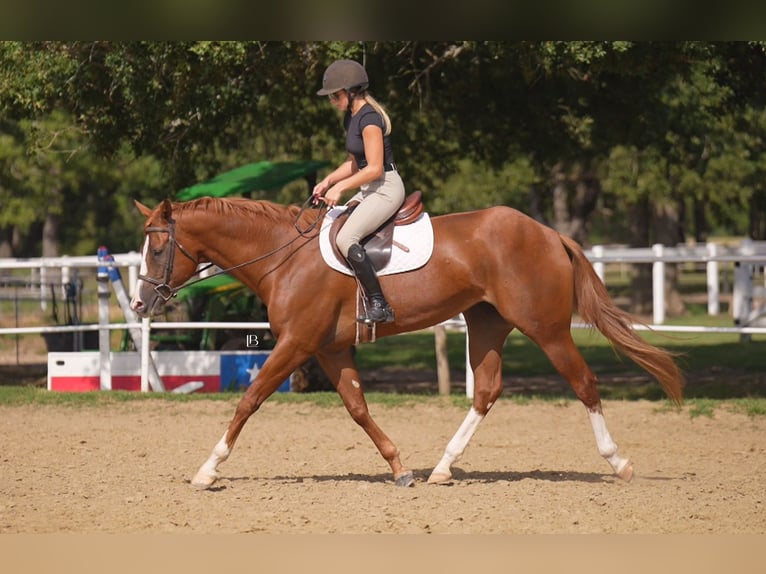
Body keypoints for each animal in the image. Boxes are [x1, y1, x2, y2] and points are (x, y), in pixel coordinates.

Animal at [129, 196, 684, 489]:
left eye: (157, 249)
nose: (138, 304)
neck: (282, 256)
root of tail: (548, 233)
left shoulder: (296, 344)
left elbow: (250, 398)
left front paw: (207, 469)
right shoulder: (329, 349)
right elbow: (357, 407)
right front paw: (399, 467)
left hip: (545, 329)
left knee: (584, 382)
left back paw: (618, 461)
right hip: (486, 324)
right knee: (486, 390)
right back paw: (442, 468)